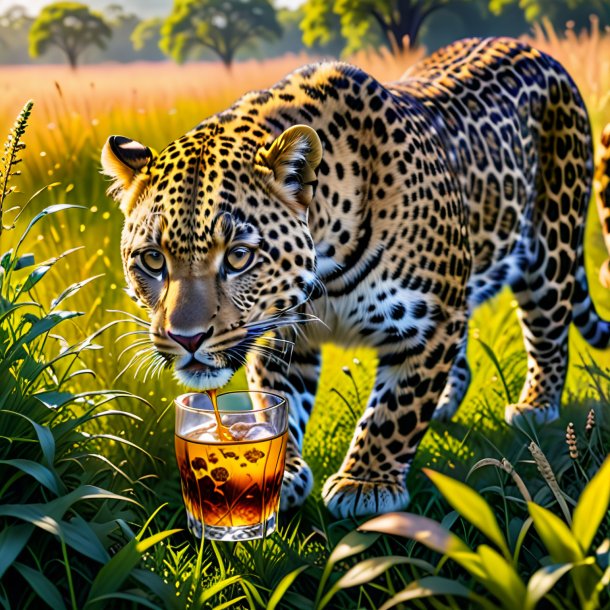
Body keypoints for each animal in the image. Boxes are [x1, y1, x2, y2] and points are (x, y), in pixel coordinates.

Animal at [100, 35, 608, 516]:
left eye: (239, 257)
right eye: (152, 260)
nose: (185, 339)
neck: (324, 271)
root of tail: (536, 50)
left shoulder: (433, 320)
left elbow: (397, 407)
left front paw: (366, 482)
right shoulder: (283, 332)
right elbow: (276, 395)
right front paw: (275, 470)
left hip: (550, 249)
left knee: (549, 332)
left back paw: (535, 406)